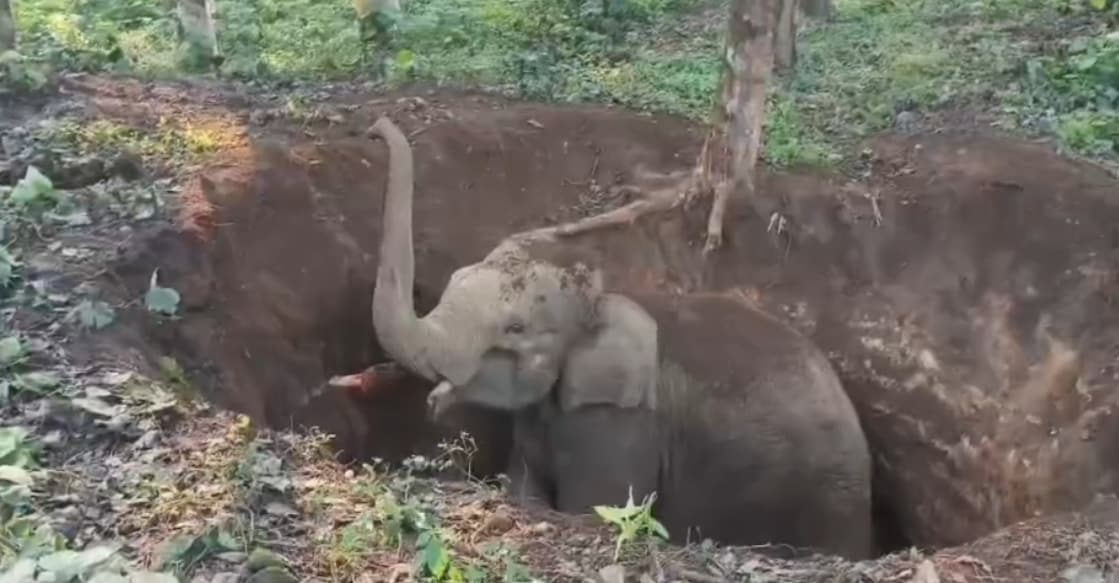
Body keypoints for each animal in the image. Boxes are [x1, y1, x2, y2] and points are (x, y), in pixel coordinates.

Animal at [365, 116, 875, 559]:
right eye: (455, 279)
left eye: (515, 329)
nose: (374, 129)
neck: (598, 296)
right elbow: (525, 487)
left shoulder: (621, 424)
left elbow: (595, 509)